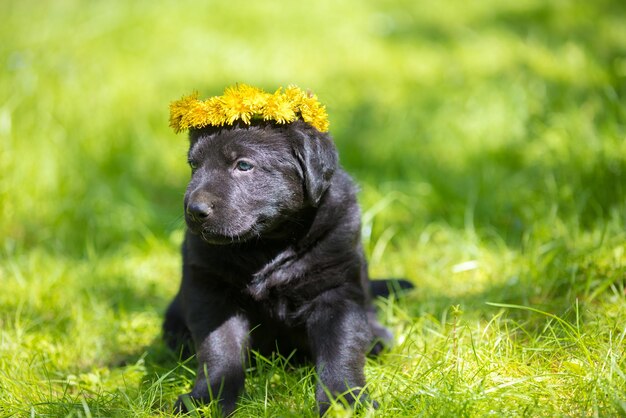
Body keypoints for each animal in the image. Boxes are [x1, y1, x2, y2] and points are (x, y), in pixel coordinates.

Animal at [161, 119, 408, 416]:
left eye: (243, 165)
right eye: (194, 165)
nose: (194, 210)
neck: (267, 246)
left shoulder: (336, 290)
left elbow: (341, 349)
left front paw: (345, 400)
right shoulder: (211, 290)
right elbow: (219, 348)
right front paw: (207, 399)